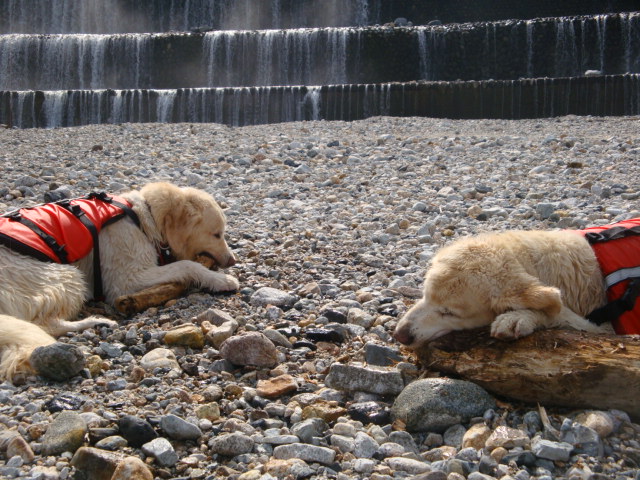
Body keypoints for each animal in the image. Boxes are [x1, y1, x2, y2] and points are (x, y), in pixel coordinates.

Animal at [0, 183, 239, 382]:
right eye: (216, 234)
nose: (233, 260)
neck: (145, 218)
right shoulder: (125, 280)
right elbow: (188, 265)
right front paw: (221, 279)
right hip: (66, 276)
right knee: (45, 325)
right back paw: (96, 322)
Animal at [396, 218, 640, 348]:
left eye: (449, 313)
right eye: (425, 295)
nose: (399, 334)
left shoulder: (604, 328)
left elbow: (558, 312)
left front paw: (518, 318)